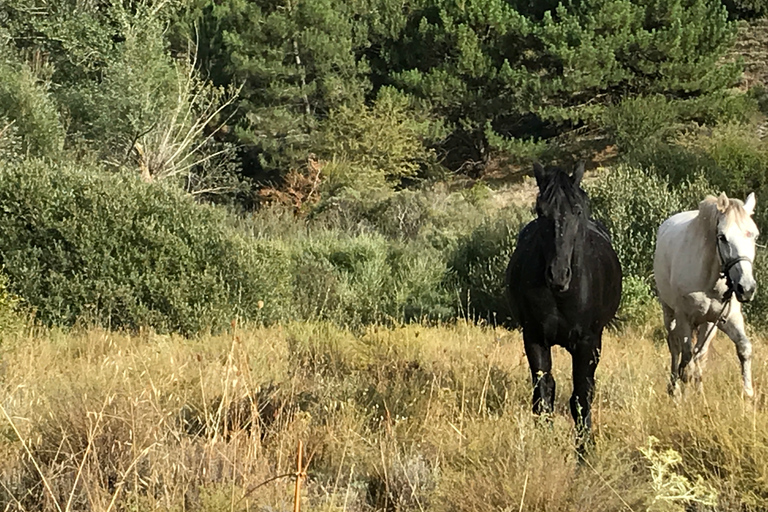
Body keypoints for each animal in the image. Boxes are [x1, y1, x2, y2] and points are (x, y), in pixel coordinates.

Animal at [508, 162, 620, 446]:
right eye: (540, 211)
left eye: (577, 210)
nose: (558, 275)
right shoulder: (534, 338)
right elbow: (543, 394)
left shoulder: (587, 344)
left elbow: (581, 398)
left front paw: (584, 449)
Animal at [652, 192, 760, 396]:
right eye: (722, 237)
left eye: (754, 235)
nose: (746, 288)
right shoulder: (684, 317)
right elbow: (686, 354)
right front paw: (683, 388)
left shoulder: (726, 318)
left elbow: (744, 348)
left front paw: (748, 393)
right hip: (668, 312)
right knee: (675, 347)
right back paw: (674, 388)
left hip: (706, 323)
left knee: (699, 353)